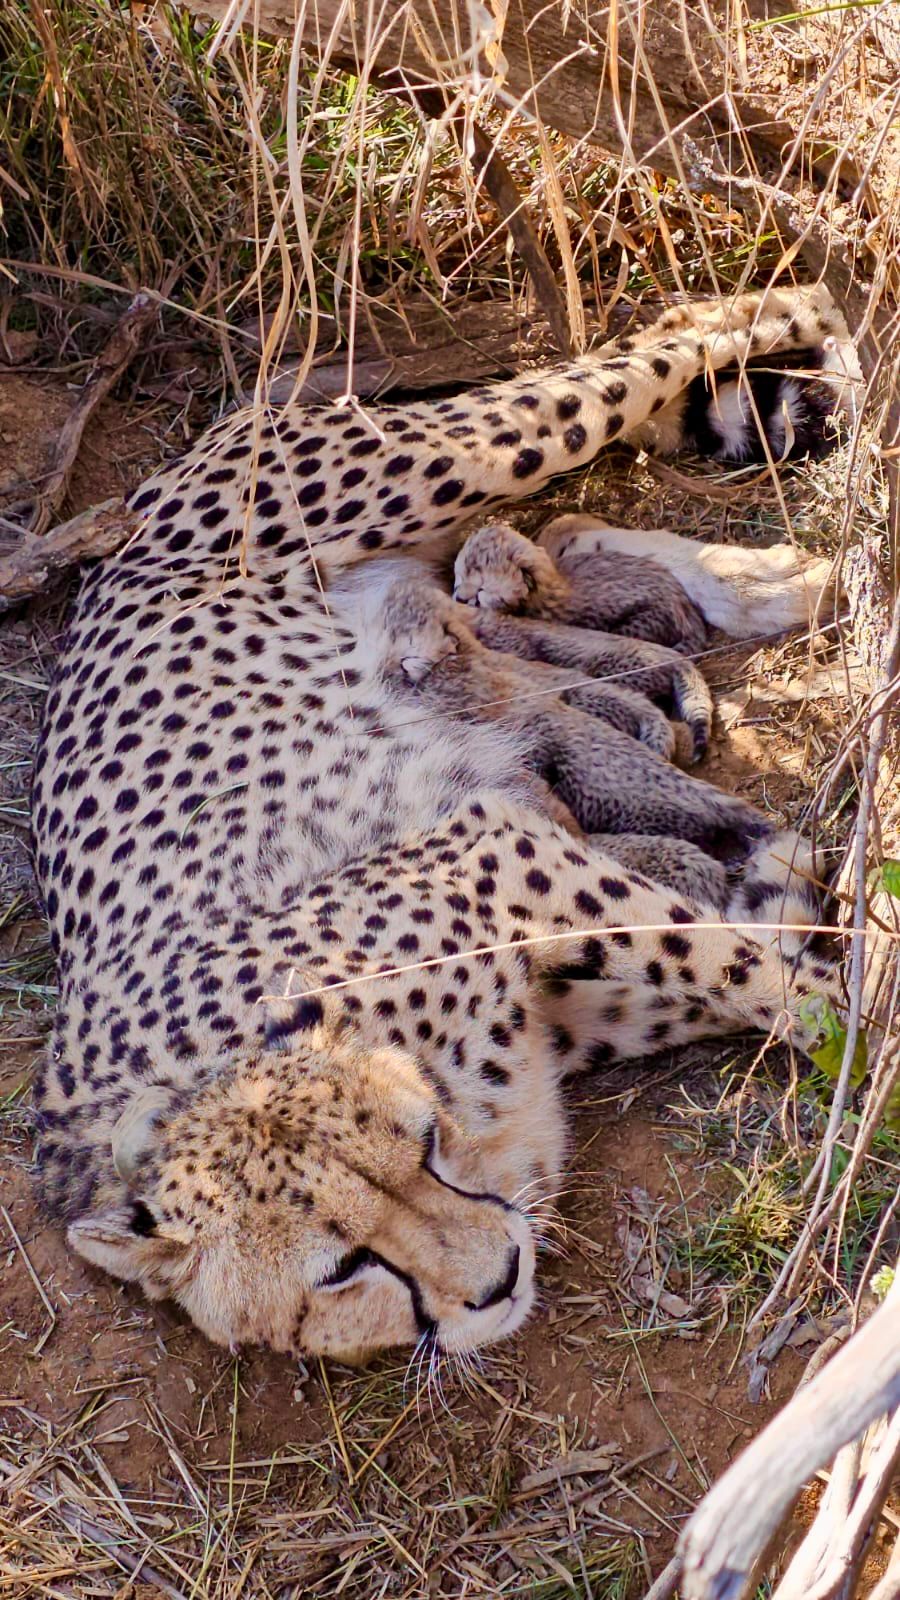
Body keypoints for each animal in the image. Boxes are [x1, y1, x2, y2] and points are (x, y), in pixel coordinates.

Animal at [31, 284, 846, 1366]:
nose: (497, 1279)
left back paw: (815, 331)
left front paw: (869, 1029)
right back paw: (766, 586)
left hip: (458, 453)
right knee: (572, 524)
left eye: (419, 1147)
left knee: (680, 336)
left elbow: (754, 971)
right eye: (342, 1270)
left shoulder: (497, 853)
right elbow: (740, 955)